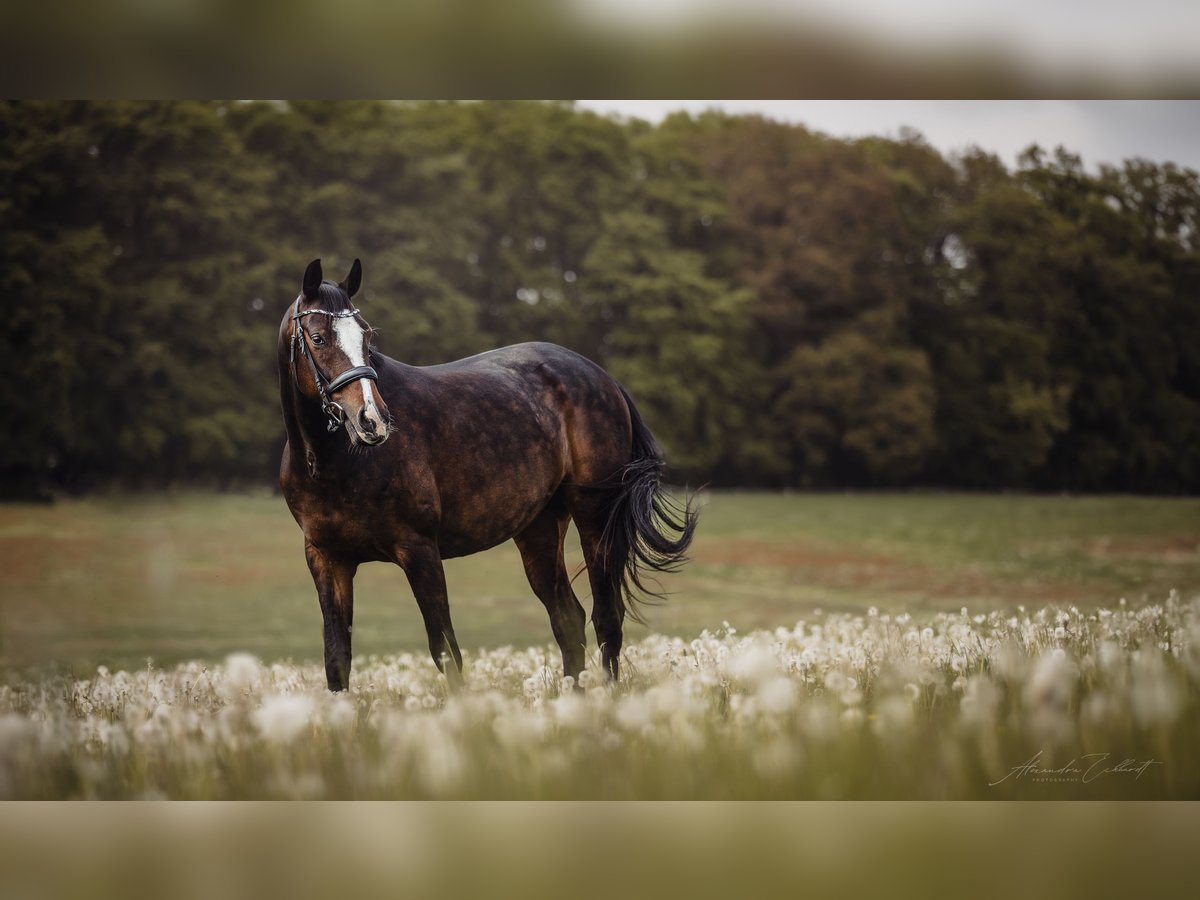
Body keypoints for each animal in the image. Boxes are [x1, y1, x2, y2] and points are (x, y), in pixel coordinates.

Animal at [277, 256, 700, 696]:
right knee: (568, 620)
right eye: (318, 338)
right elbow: (337, 659)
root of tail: (604, 378)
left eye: (367, 336)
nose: (372, 421)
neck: (332, 463)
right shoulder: (327, 559)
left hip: (595, 520)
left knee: (606, 618)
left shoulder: (419, 551)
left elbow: (445, 651)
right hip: (539, 528)